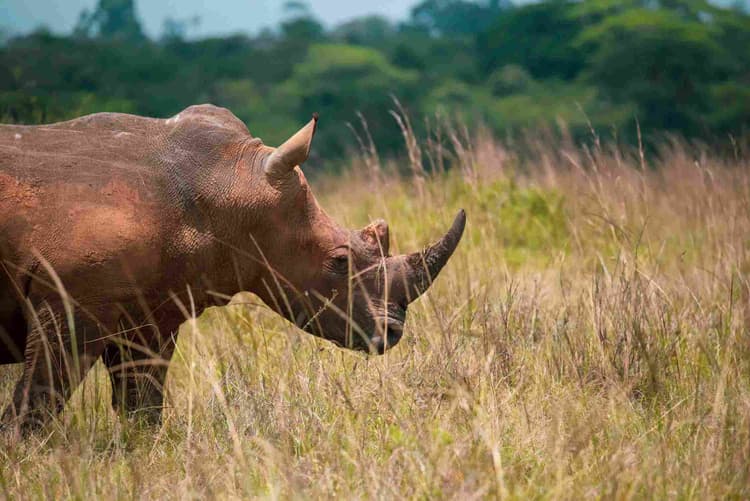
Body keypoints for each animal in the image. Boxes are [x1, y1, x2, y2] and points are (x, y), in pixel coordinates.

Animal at [0, 104, 468, 430]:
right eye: (339, 262)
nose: (392, 333)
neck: (228, 184)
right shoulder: (70, 302)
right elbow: (37, 401)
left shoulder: (149, 314)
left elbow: (142, 408)